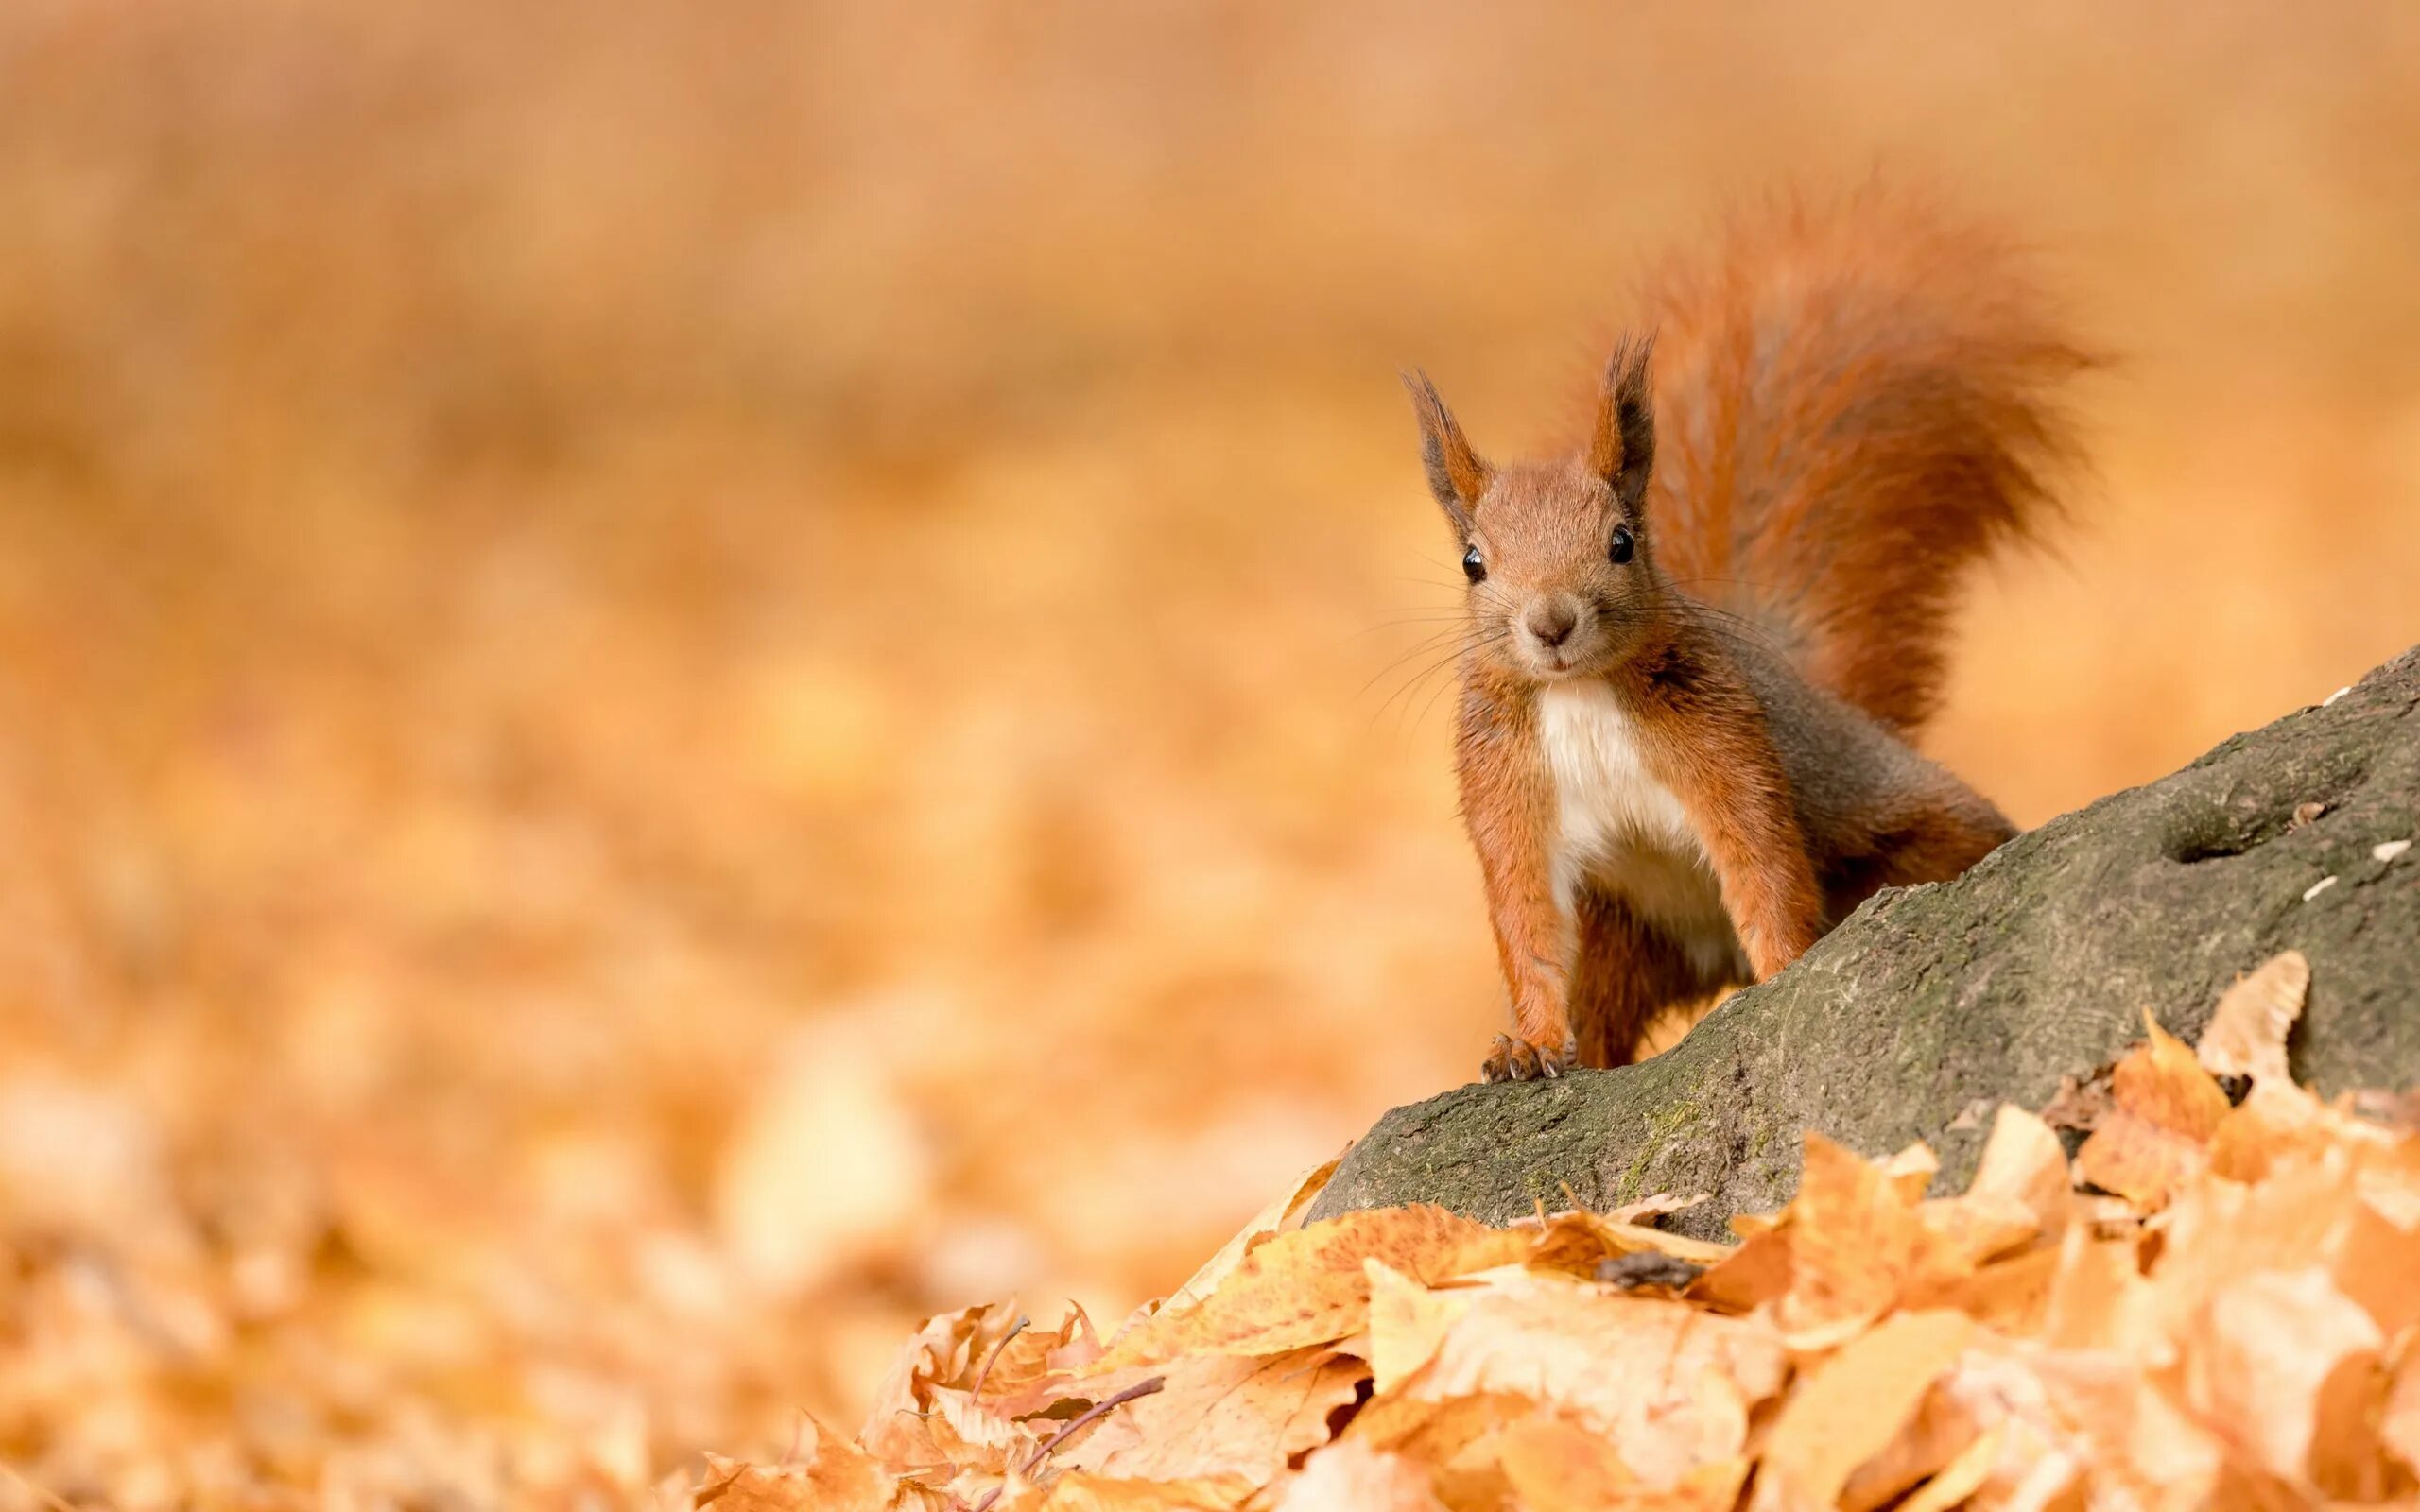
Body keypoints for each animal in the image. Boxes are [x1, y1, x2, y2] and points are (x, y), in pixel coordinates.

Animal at [1413, 191, 2090, 1083]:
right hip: (1624, 933)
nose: (1551, 623)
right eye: (1473, 563)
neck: (1580, 694)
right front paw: (1528, 1044)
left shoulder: (1726, 746)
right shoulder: (1506, 789)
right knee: (1603, 1004)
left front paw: (1788, 973)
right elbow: (1526, 922)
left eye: (1623, 542)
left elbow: (1764, 867)